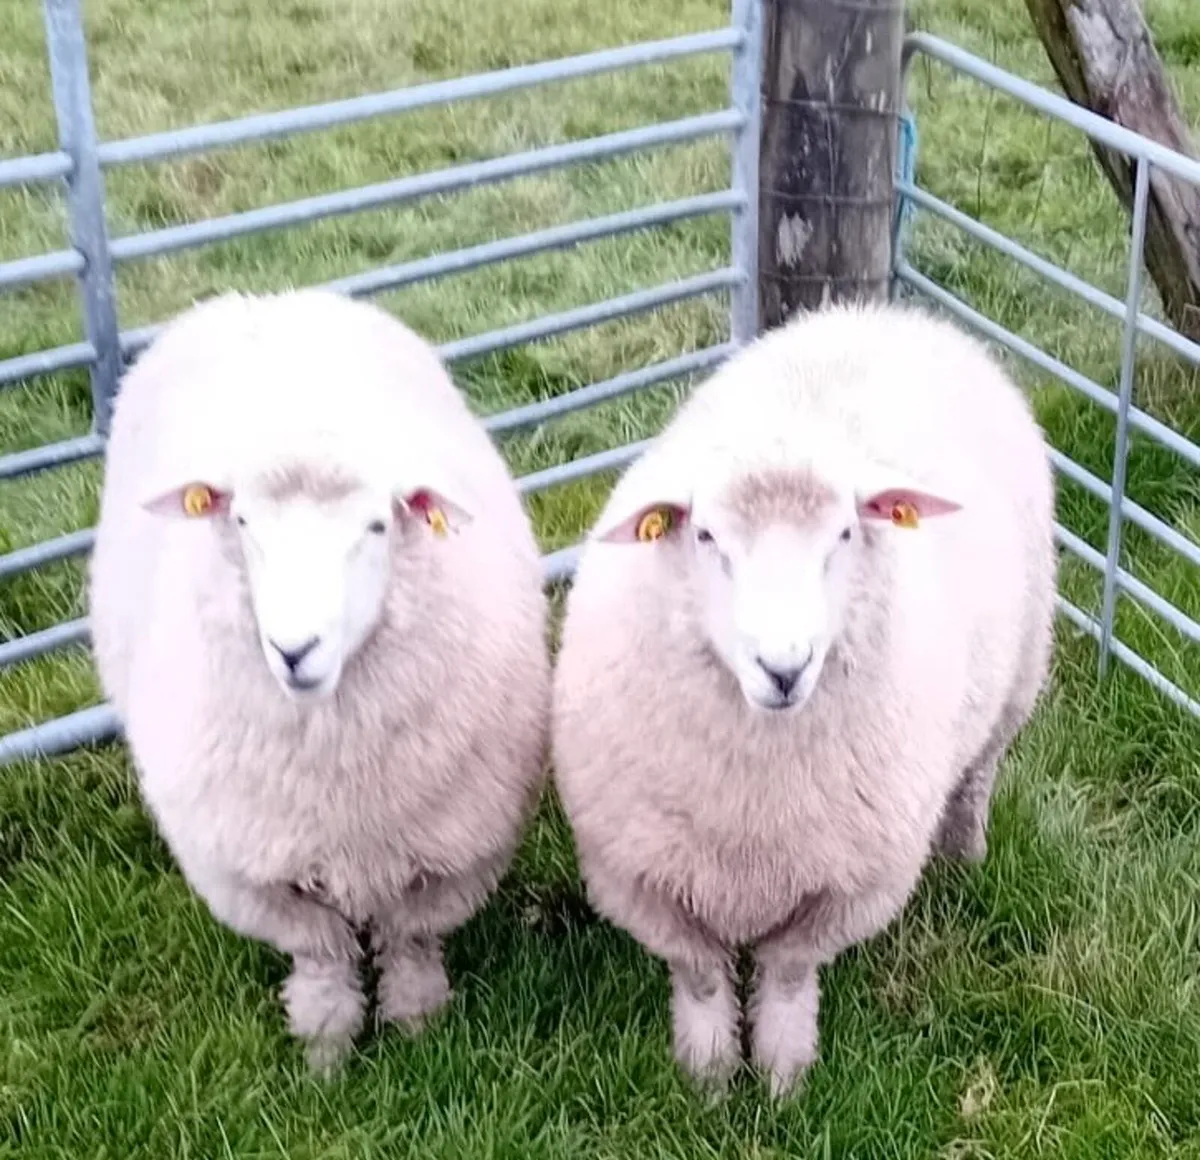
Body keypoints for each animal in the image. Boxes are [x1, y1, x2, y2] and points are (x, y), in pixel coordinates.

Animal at [88, 287, 551, 1072]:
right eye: (242, 520)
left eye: (376, 526)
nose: (293, 649)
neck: (340, 781)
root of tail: (271, 298)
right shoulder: (264, 875)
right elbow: (324, 961)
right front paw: (326, 1057)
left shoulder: (446, 855)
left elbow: (409, 941)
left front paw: (416, 1028)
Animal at [551, 300, 1057, 1097]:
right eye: (705, 535)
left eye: (845, 532)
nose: (784, 668)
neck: (755, 804)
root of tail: (890, 313)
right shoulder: (640, 873)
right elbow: (700, 975)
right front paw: (709, 1078)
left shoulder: (850, 879)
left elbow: (788, 973)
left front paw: (784, 1078)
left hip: (1018, 676)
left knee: (979, 773)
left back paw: (965, 855)